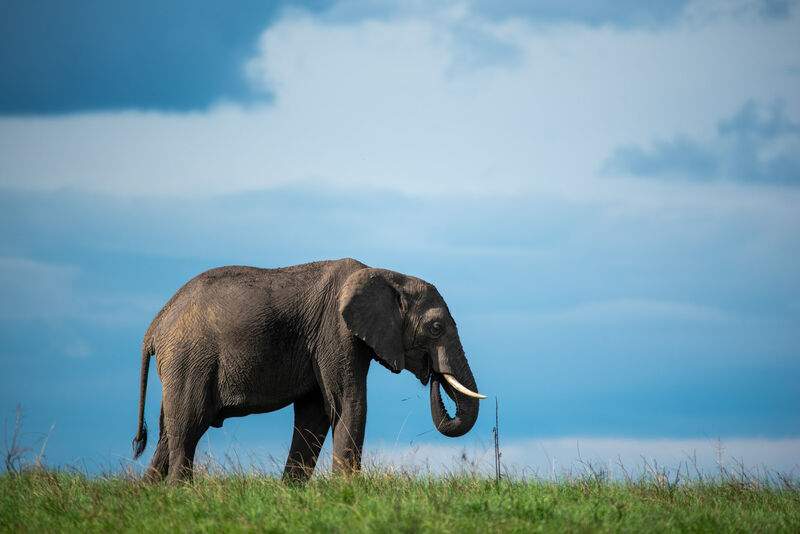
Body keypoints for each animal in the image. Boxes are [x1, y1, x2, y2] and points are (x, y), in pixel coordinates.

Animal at [132, 258, 485, 483]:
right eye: (436, 328)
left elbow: (314, 414)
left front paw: (292, 492)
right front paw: (347, 492)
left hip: (181, 363)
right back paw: (180, 493)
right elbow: (347, 403)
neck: (387, 274)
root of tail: (153, 328)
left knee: (167, 433)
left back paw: (150, 495)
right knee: (188, 428)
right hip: (189, 359)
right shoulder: (336, 332)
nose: (433, 375)